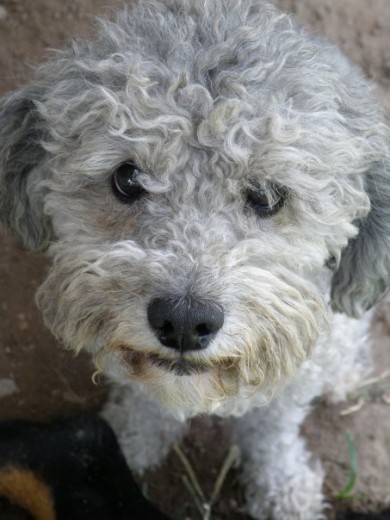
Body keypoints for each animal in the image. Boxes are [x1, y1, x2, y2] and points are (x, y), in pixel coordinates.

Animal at [0, 1, 390, 520]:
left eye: (268, 196)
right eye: (127, 178)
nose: (184, 322)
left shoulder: (296, 372)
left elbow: (273, 428)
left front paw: (284, 491)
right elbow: (145, 406)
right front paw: (126, 447)